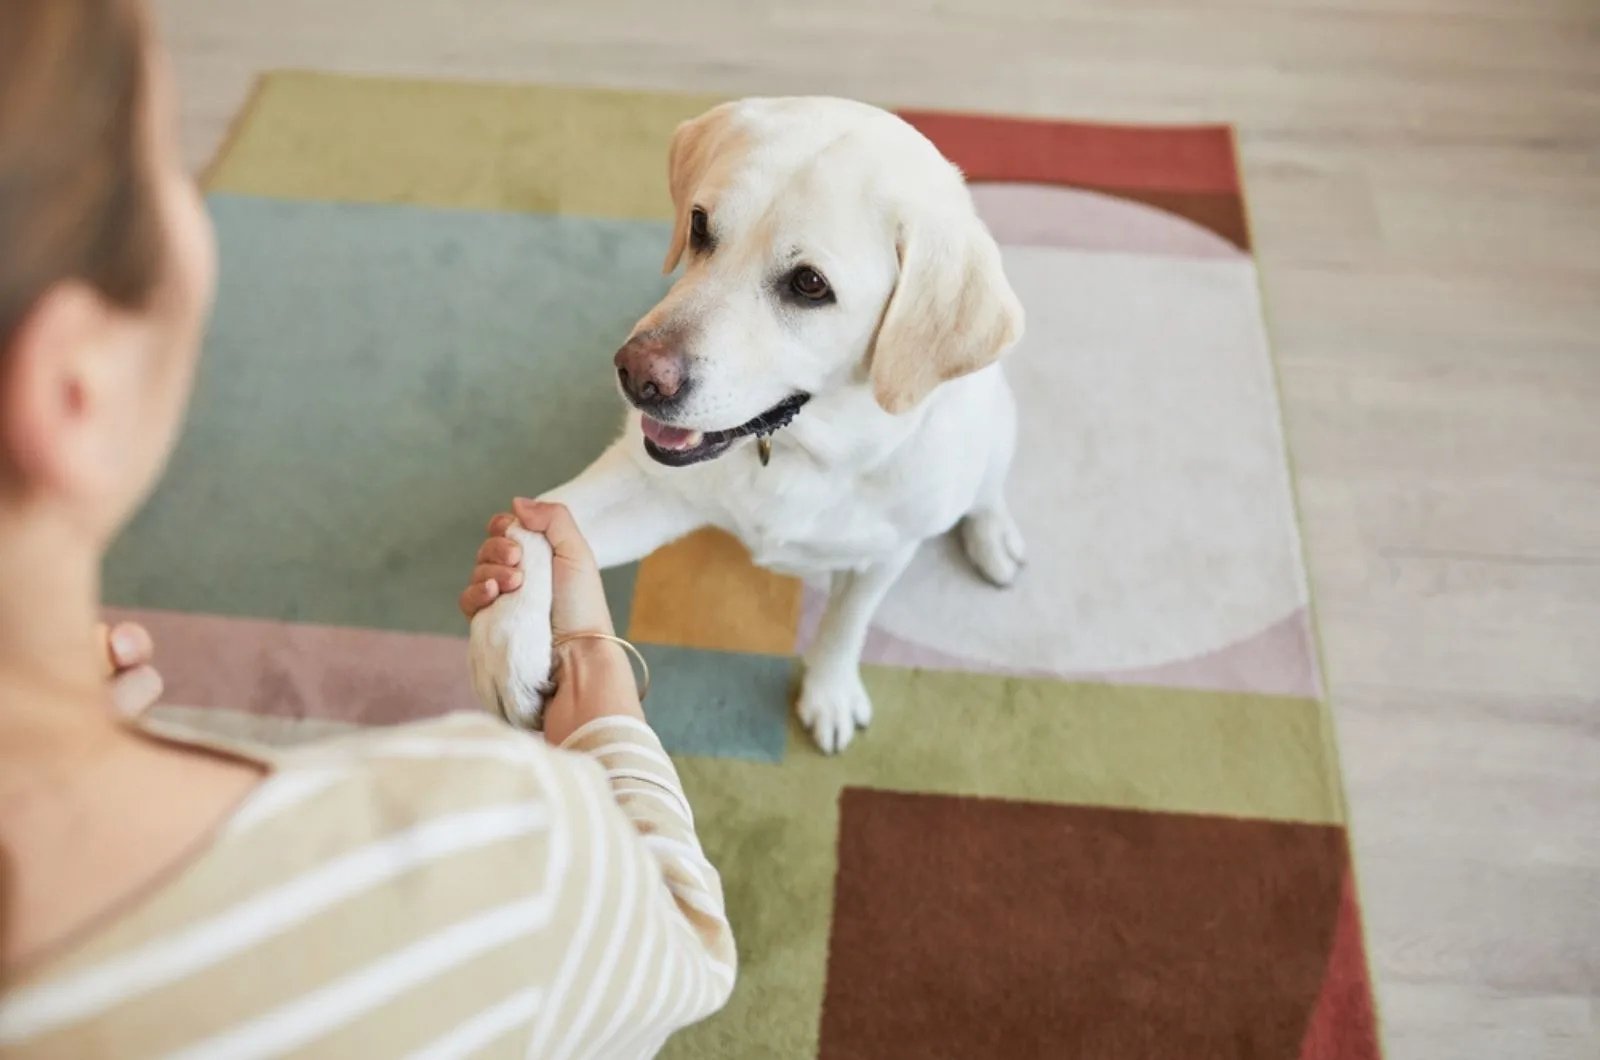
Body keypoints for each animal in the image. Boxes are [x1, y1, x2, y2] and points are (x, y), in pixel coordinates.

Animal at [470, 95, 1024, 752]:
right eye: (700, 224)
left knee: (987, 492)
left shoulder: (886, 554)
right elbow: (537, 521)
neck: (801, 452)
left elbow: (845, 625)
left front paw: (830, 693)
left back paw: (994, 540)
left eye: (810, 284)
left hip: (997, 429)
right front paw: (503, 643)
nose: (638, 376)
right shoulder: (650, 486)